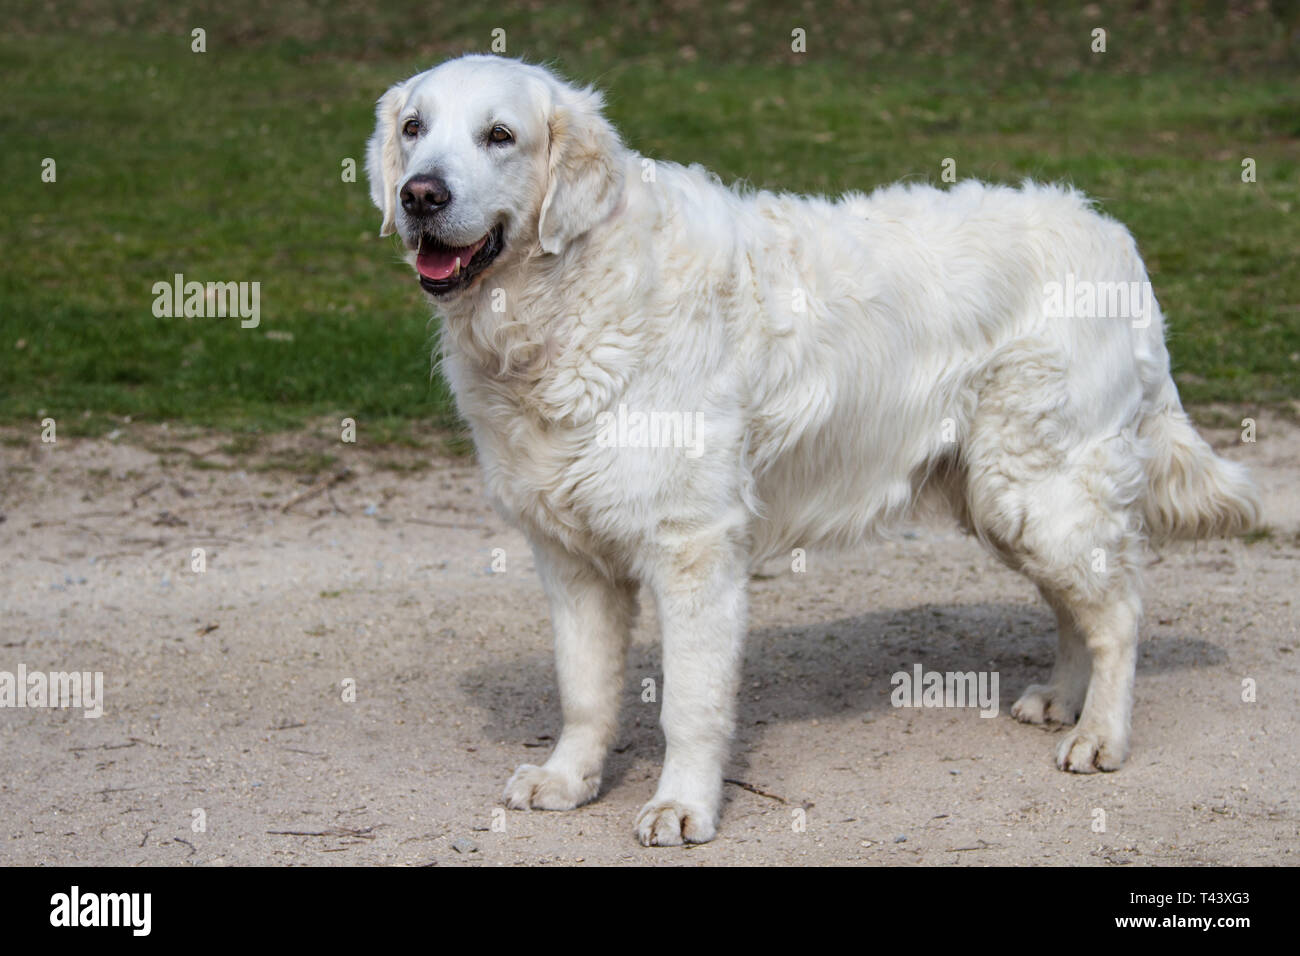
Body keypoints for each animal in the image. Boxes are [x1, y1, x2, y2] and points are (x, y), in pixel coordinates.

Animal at [366, 55, 1258, 842]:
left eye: (500, 136)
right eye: (415, 128)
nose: (420, 195)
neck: (565, 297)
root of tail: (1110, 232)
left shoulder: (693, 547)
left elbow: (690, 702)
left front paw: (681, 808)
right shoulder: (570, 553)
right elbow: (584, 689)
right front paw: (568, 779)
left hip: (1041, 484)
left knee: (1119, 611)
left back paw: (1100, 733)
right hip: (1004, 497)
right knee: (1079, 606)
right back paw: (1062, 700)